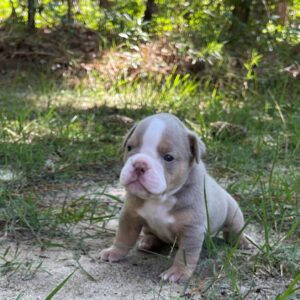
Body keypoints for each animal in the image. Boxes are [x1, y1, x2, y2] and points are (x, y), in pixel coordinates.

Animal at [99, 113, 247, 282]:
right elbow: (122, 237)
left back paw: (242, 242)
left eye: (168, 157)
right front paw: (114, 251)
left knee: (234, 230)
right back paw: (148, 242)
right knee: (152, 234)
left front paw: (178, 272)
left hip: (233, 214)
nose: (139, 165)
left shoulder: (191, 230)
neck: (160, 197)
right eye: (129, 148)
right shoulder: (130, 216)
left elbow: (185, 254)